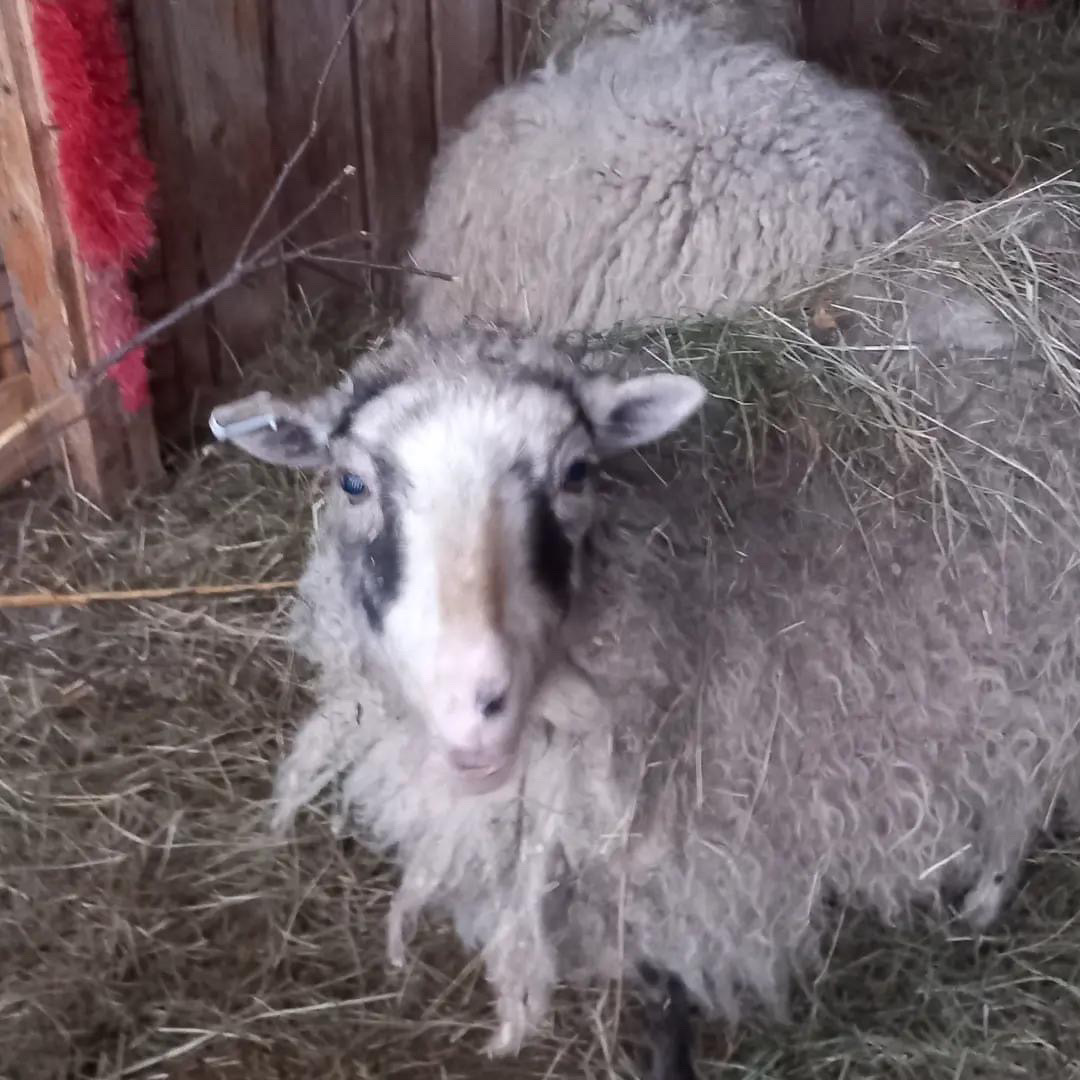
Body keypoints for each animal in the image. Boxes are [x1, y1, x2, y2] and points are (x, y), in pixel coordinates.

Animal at [209, 322, 1080, 1067]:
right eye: (351, 481)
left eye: (577, 472)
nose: (470, 706)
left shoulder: (689, 871)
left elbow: (670, 1014)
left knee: (1022, 793)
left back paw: (984, 904)